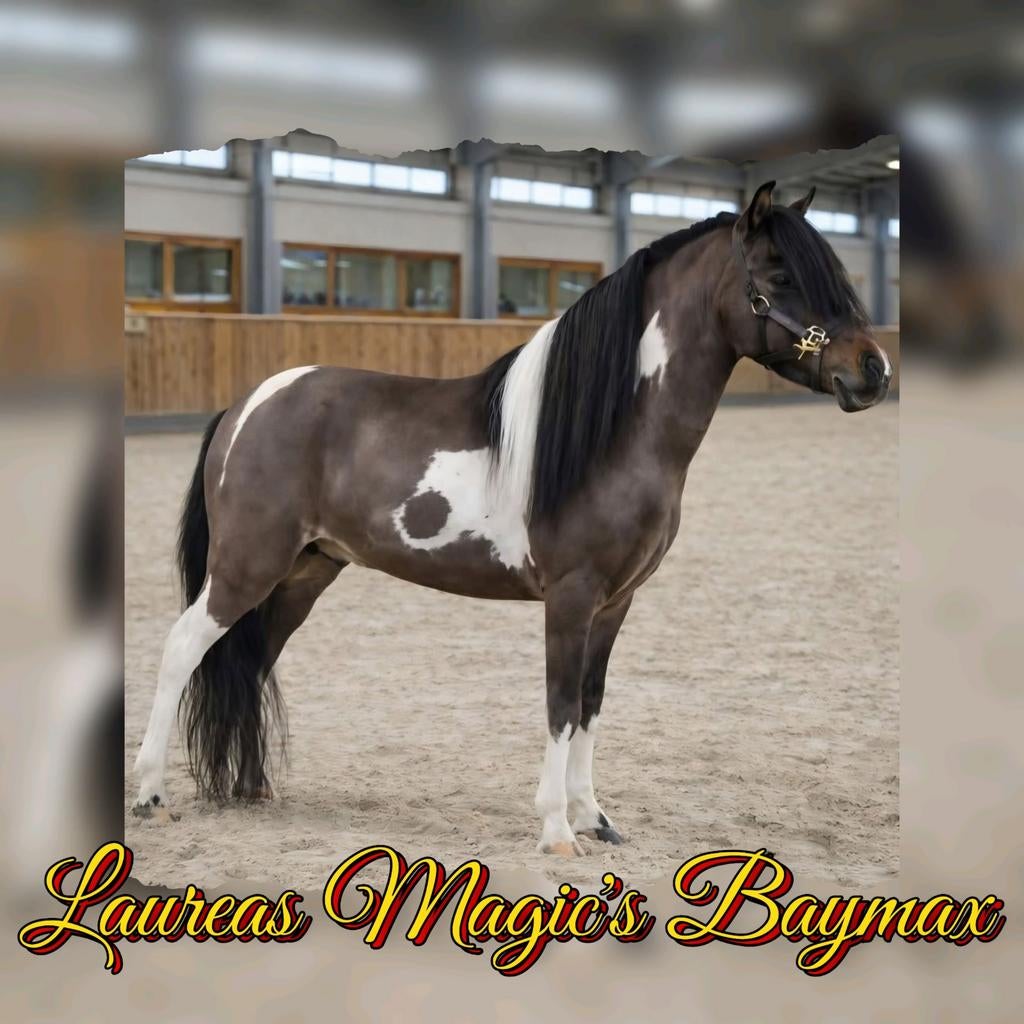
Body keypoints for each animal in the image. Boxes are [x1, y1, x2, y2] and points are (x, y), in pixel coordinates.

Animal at [132, 181, 892, 857]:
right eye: (780, 273)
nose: (874, 370)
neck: (613, 432)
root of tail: (247, 405)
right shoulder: (572, 596)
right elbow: (559, 703)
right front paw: (556, 831)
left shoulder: (616, 602)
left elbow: (590, 701)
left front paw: (595, 819)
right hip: (246, 566)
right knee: (182, 649)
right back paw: (150, 795)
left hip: (304, 573)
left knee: (252, 661)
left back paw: (251, 789)